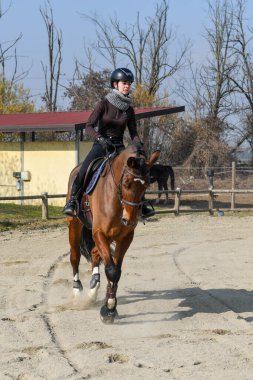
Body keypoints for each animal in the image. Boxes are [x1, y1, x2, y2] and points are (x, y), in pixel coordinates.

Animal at [66, 145, 159, 324]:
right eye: (126, 183)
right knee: (75, 257)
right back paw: (77, 291)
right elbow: (111, 270)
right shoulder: (100, 233)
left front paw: (110, 306)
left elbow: (116, 271)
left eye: (146, 185)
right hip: (74, 224)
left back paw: (94, 286)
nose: (130, 219)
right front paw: (108, 308)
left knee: (95, 254)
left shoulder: (125, 238)